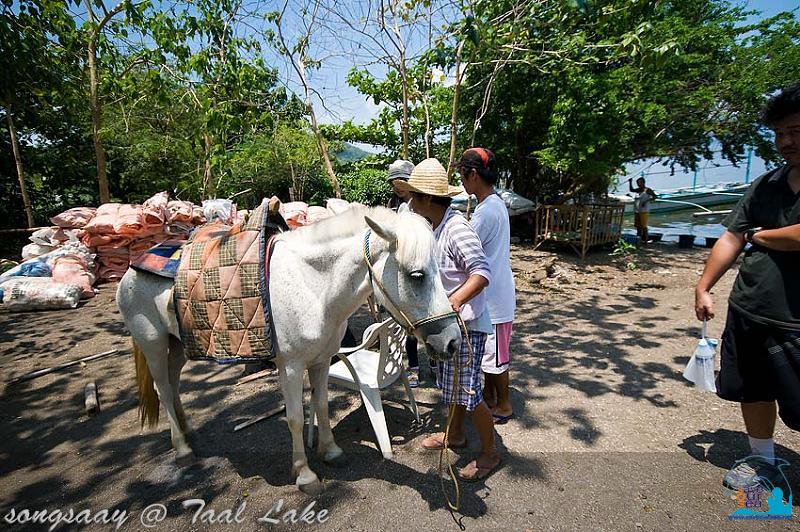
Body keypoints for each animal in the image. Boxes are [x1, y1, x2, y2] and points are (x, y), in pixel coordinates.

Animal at [115, 206, 460, 492]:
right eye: (416, 275)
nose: (453, 341)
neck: (313, 287)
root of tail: (132, 268)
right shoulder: (291, 366)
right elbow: (295, 415)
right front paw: (304, 474)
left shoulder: (322, 360)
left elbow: (321, 406)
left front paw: (330, 451)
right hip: (153, 344)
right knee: (162, 389)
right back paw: (183, 449)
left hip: (179, 345)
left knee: (173, 385)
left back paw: (187, 434)